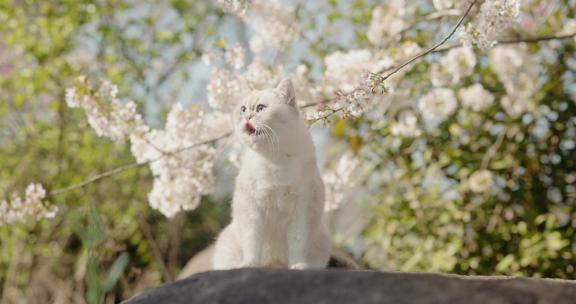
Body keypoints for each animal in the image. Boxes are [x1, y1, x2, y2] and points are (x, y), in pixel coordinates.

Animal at [213, 79, 330, 270]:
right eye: (243, 109)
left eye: (260, 108)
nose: (247, 117)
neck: (275, 158)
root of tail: (274, 264)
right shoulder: (252, 210)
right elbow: (252, 242)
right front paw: (250, 265)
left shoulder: (301, 210)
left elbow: (297, 244)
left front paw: (298, 266)